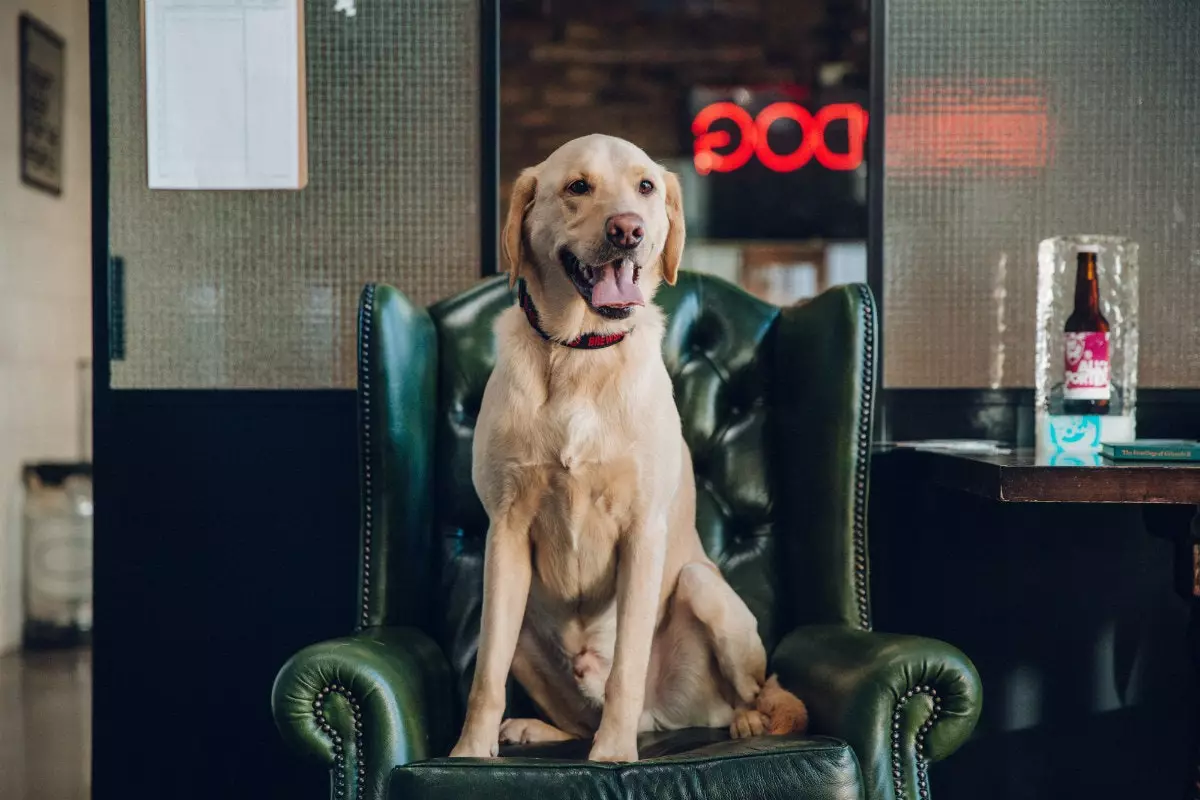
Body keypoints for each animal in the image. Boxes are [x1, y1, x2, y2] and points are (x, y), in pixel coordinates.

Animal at [451, 136, 806, 762]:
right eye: (577, 187)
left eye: (645, 187)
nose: (627, 230)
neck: (580, 352)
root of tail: (663, 719)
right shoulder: (505, 534)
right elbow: (486, 672)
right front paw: (470, 753)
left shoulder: (642, 533)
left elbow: (627, 669)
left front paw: (613, 755)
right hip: (523, 622)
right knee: (569, 708)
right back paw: (535, 729)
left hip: (704, 588)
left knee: (755, 690)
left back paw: (744, 723)